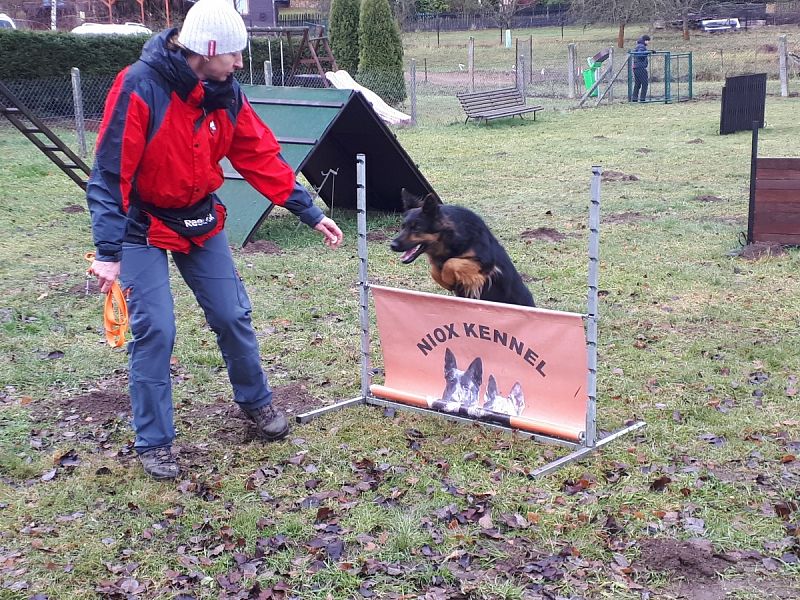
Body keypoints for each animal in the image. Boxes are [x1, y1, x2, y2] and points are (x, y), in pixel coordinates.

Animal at [390, 190, 536, 308]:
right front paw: (445, 280)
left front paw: (448, 279)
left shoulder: (487, 263)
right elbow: (434, 269)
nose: (392, 245)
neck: (453, 236)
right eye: (403, 227)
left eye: (416, 228)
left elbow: (451, 262)